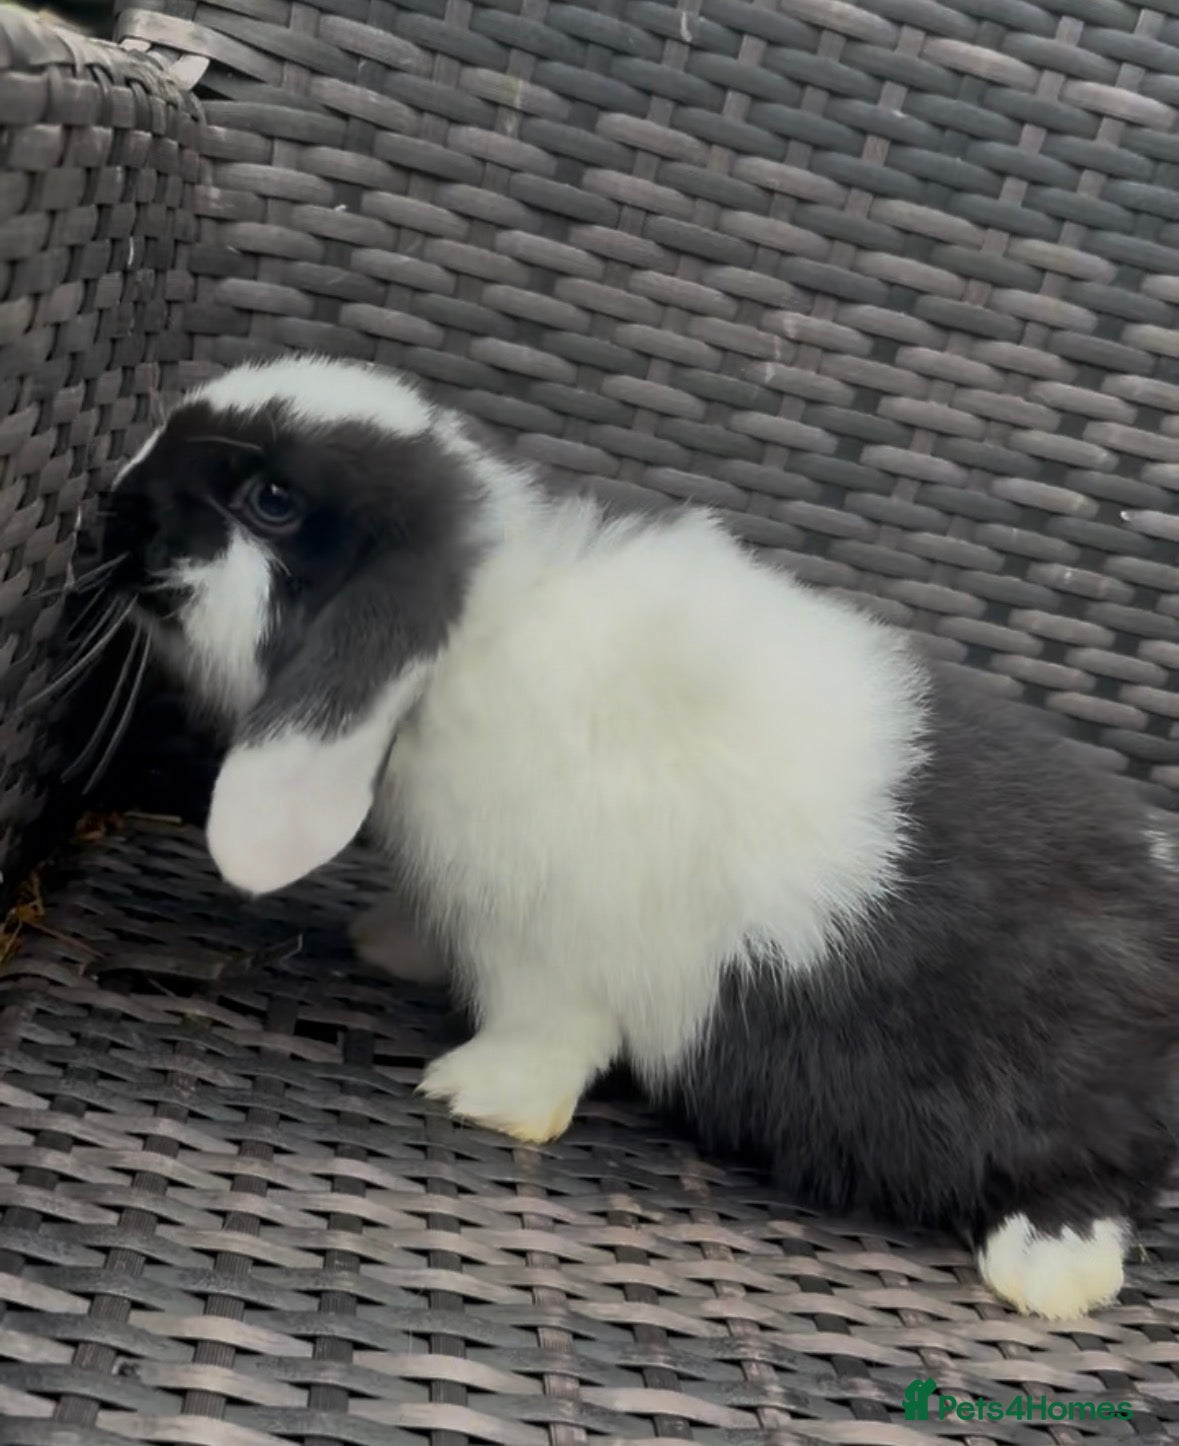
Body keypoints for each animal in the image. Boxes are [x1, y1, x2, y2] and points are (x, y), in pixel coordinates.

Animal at [101, 354, 1178, 1320]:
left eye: (272, 500)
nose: (118, 501)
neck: (464, 649)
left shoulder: (550, 960)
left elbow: (547, 1039)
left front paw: (474, 1096)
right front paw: (392, 943)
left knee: (1099, 1180)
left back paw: (1048, 1276)